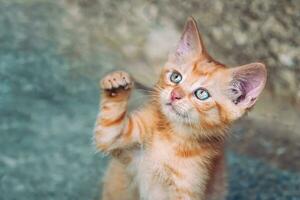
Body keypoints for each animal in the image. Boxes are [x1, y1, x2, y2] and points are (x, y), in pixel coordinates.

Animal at [94, 17, 268, 200]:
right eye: (175, 77)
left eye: (202, 94)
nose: (174, 94)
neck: (172, 137)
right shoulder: (115, 140)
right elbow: (109, 130)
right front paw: (116, 83)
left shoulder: (188, 189)